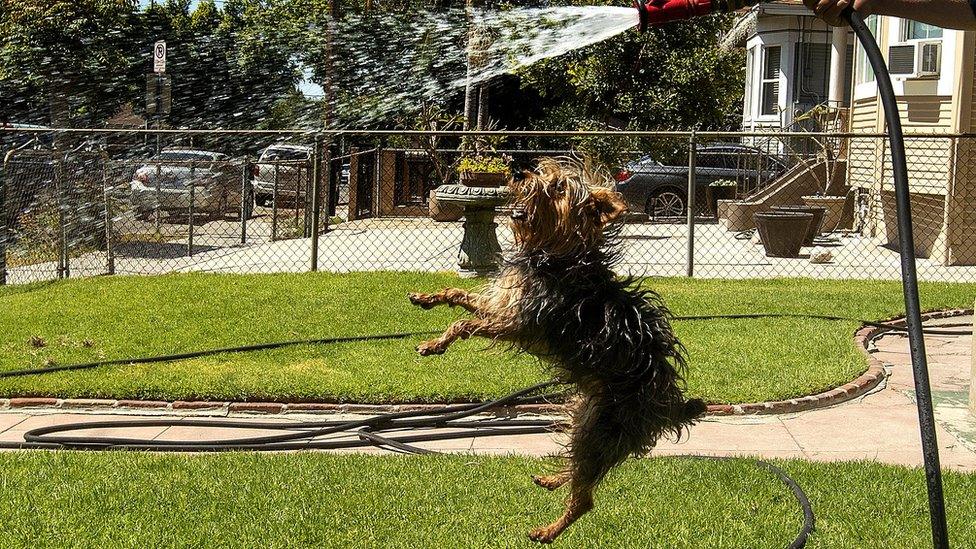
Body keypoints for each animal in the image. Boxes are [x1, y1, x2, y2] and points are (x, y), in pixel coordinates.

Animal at [408, 156, 704, 540]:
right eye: (542, 173)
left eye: (559, 187)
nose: (520, 172)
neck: (557, 254)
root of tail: (667, 407)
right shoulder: (502, 303)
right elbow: (457, 295)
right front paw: (426, 301)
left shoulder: (517, 324)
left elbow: (463, 324)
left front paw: (435, 344)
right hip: (584, 415)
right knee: (577, 466)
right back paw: (553, 479)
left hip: (602, 429)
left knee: (585, 497)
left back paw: (548, 530)